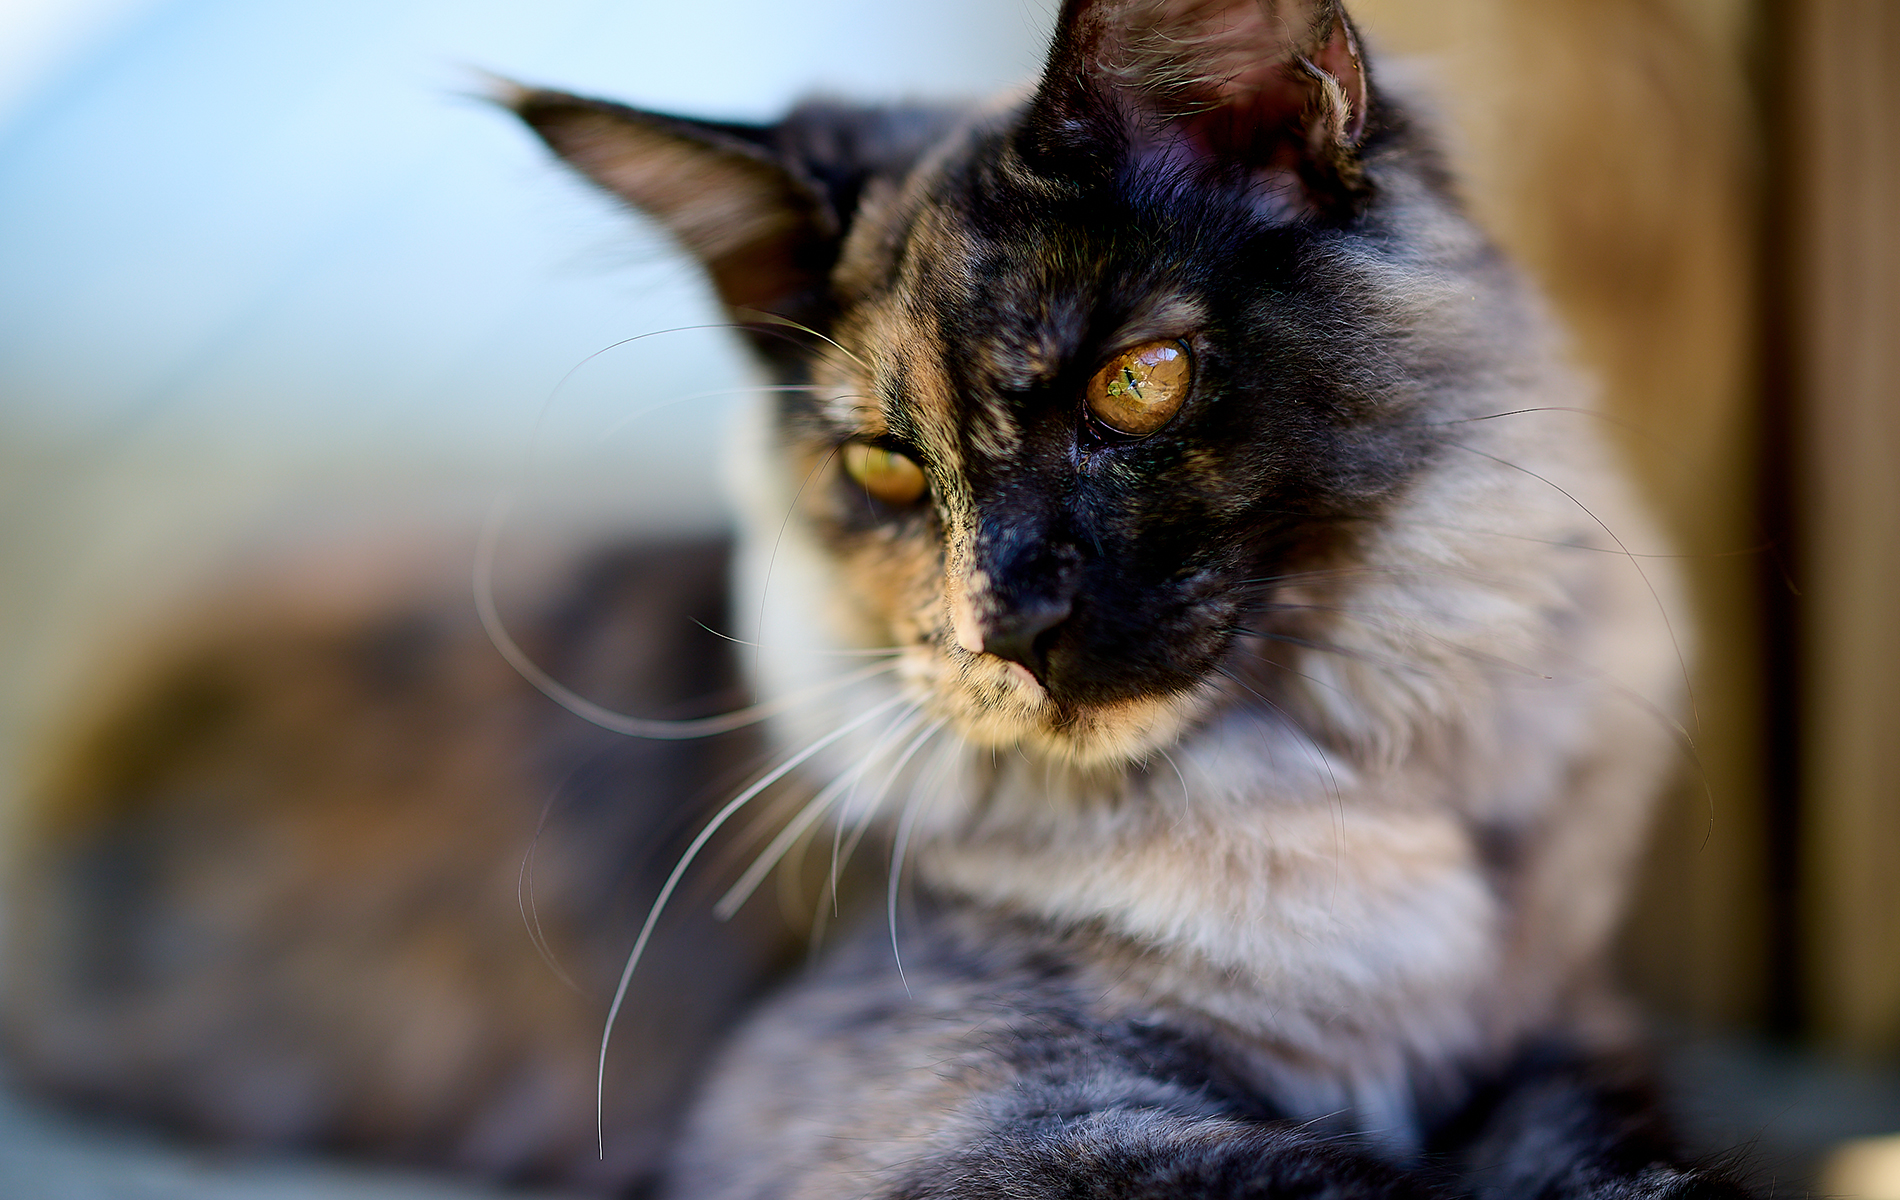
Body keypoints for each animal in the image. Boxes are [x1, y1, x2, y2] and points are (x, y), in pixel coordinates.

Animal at [0, 0, 1748, 1192]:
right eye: (887, 472)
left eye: (1137, 383)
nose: (1003, 630)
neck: (1374, 821)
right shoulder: (973, 1112)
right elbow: (1346, 1178)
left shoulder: (1560, 1037)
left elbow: (1618, 1162)